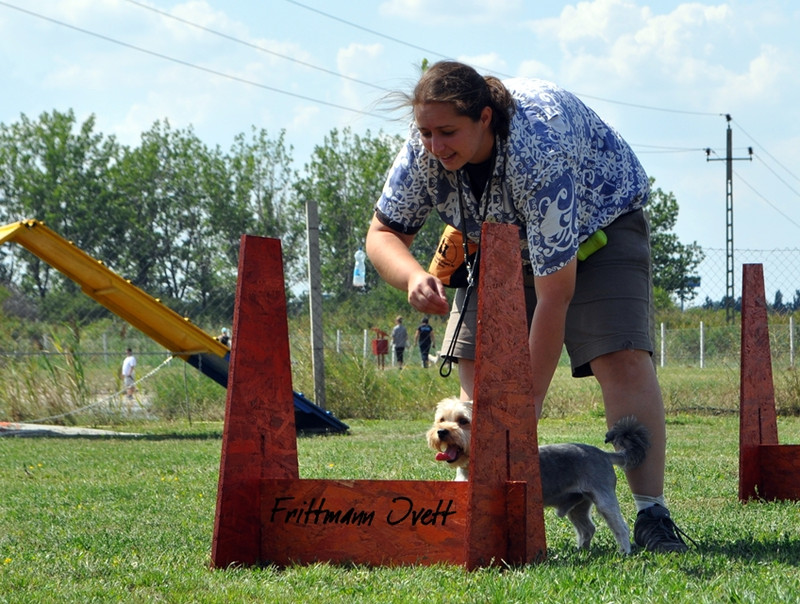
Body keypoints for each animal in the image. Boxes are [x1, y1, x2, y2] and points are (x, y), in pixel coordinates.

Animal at [424, 394, 648, 556]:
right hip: (578, 505)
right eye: (441, 420)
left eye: (463, 421)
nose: (442, 431)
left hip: (603, 498)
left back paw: (624, 551)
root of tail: (604, 454)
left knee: (620, 526)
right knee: (587, 528)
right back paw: (581, 551)